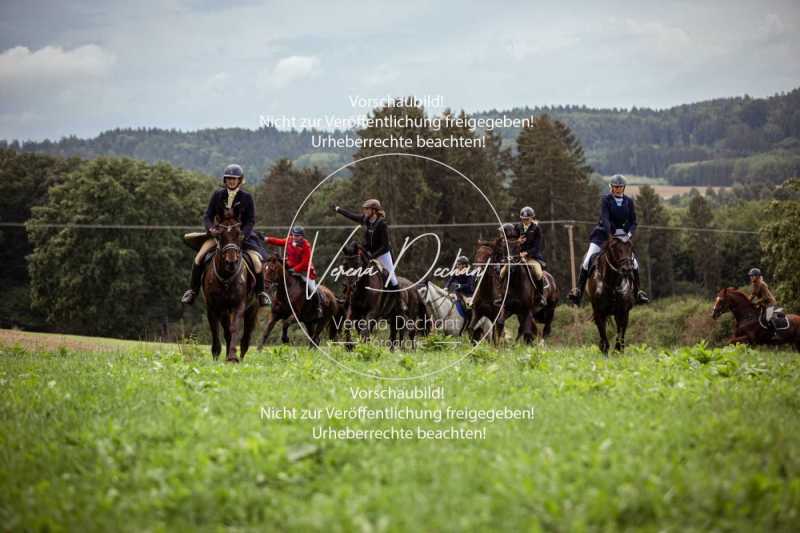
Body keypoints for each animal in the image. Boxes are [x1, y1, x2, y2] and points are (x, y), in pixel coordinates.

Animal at [202, 208, 258, 362]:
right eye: (220, 235)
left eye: (239, 234)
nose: (231, 262)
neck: (226, 277)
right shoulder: (213, 307)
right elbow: (215, 329)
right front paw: (216, 354)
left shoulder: (238, 305)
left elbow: (235, 328)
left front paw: (233, 356)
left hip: (253, 309)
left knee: (246, 336)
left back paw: (241, 355)